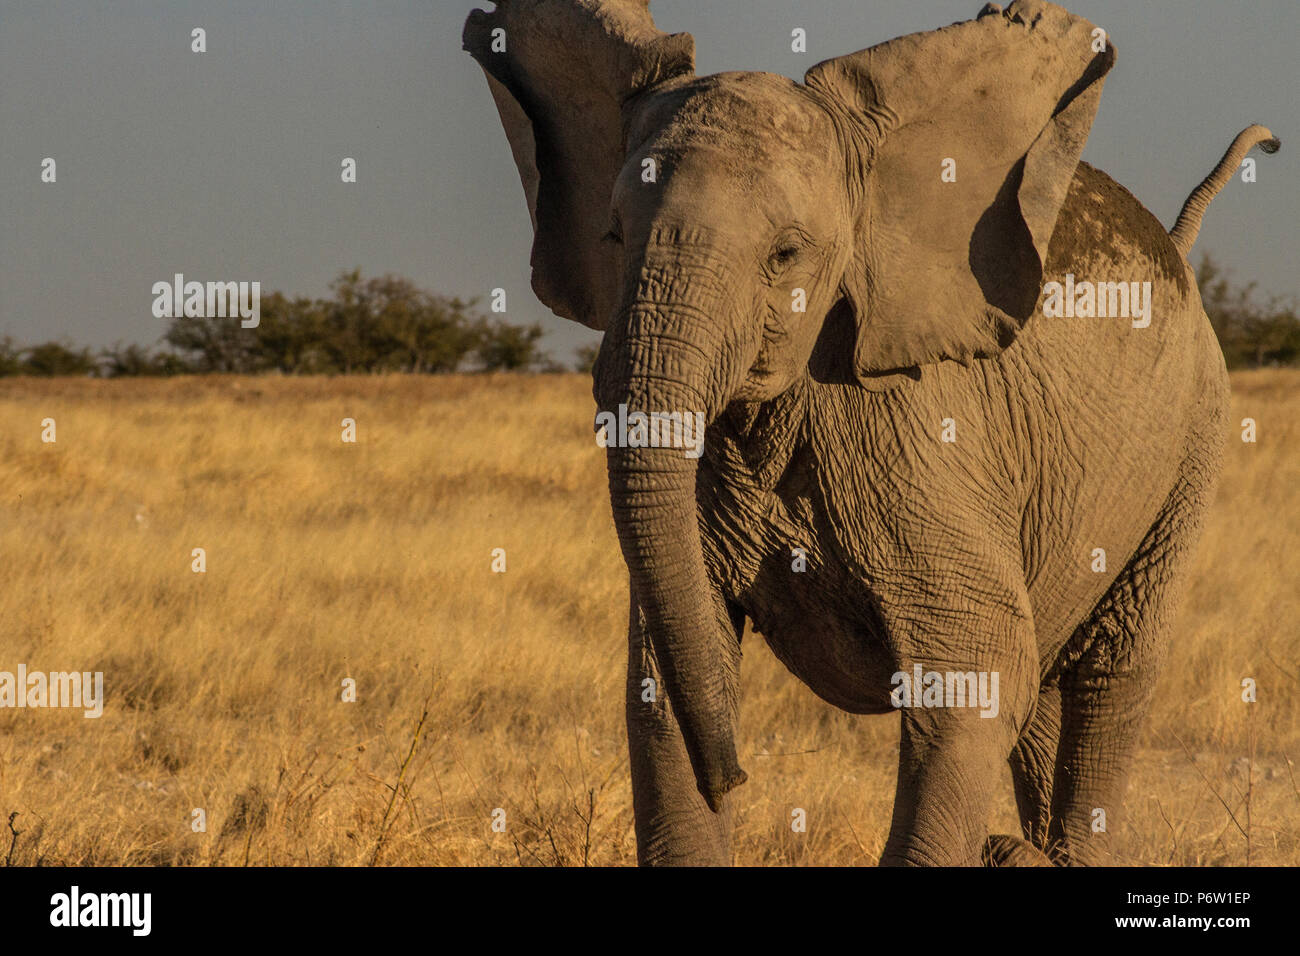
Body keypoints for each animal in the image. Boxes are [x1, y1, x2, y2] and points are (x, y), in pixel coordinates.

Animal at [464, 0, 1279, 865]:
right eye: (615, 237)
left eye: (786, 254)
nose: (735, 775)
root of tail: (1177, 251)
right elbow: (663, 677)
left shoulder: (916, 437)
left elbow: (982, 666)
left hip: (1192, 443)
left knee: (1111, 667)